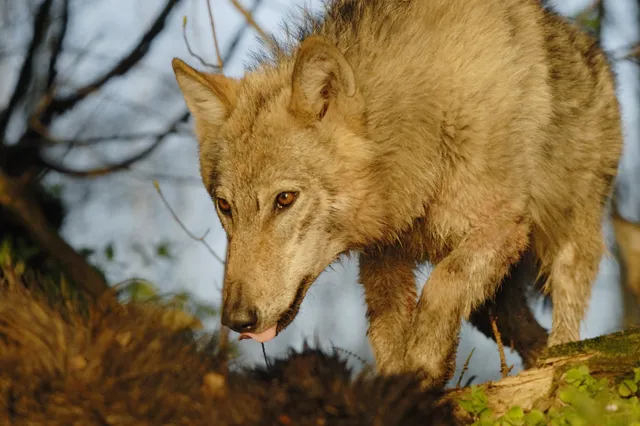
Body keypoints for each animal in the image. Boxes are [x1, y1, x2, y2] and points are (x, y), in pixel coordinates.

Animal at [172, 0, 624, 388]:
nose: (237, 319)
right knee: (527, 334)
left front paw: (425, 362)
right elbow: (384, 331)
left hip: (566, 239)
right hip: (492, 304)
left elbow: (443, 283)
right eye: (225, 206)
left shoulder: (502, 226)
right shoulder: (383, 257)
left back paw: (561, 356)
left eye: (284, 199)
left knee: (565, 320)